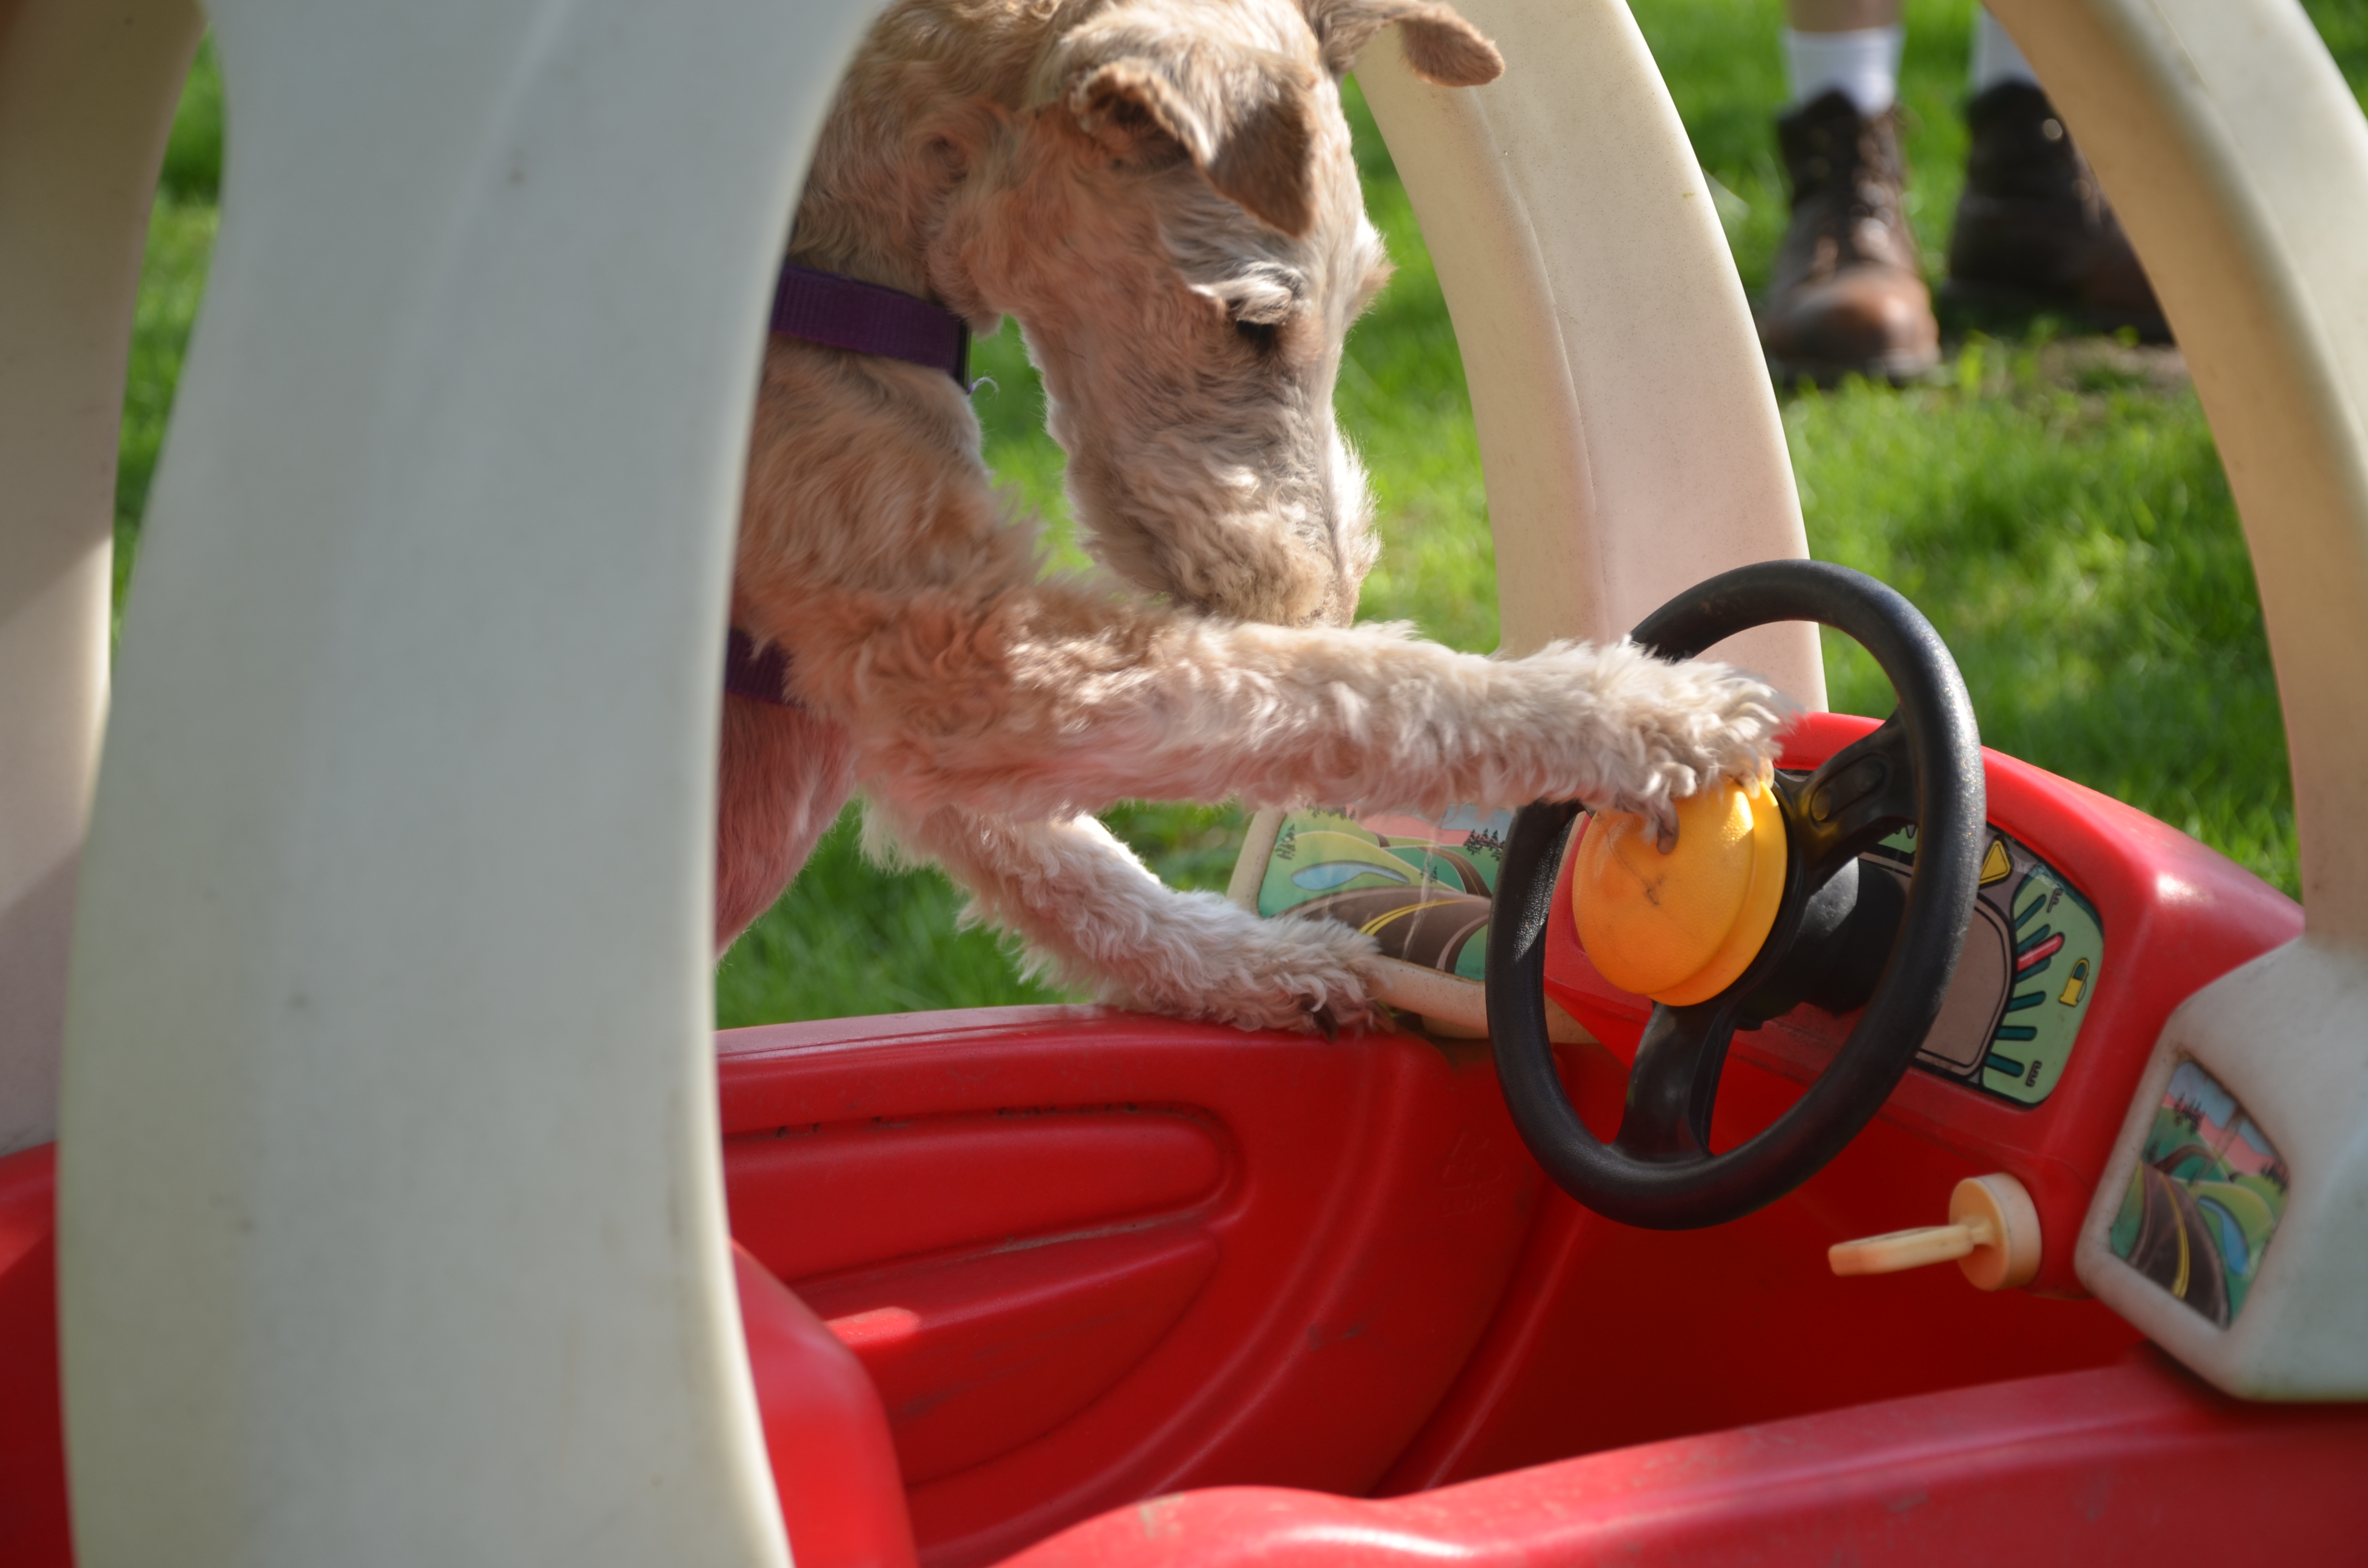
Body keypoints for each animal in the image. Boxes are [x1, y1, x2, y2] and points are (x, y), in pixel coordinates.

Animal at [718, 0, 1789, 1034]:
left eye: (1365, 296)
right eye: (1255, 320)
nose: (1323, 601)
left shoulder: (891, 684)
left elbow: (1074, 865)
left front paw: (1271, 966)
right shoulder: (961, 655)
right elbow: (1361, 686)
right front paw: (1660, 717)